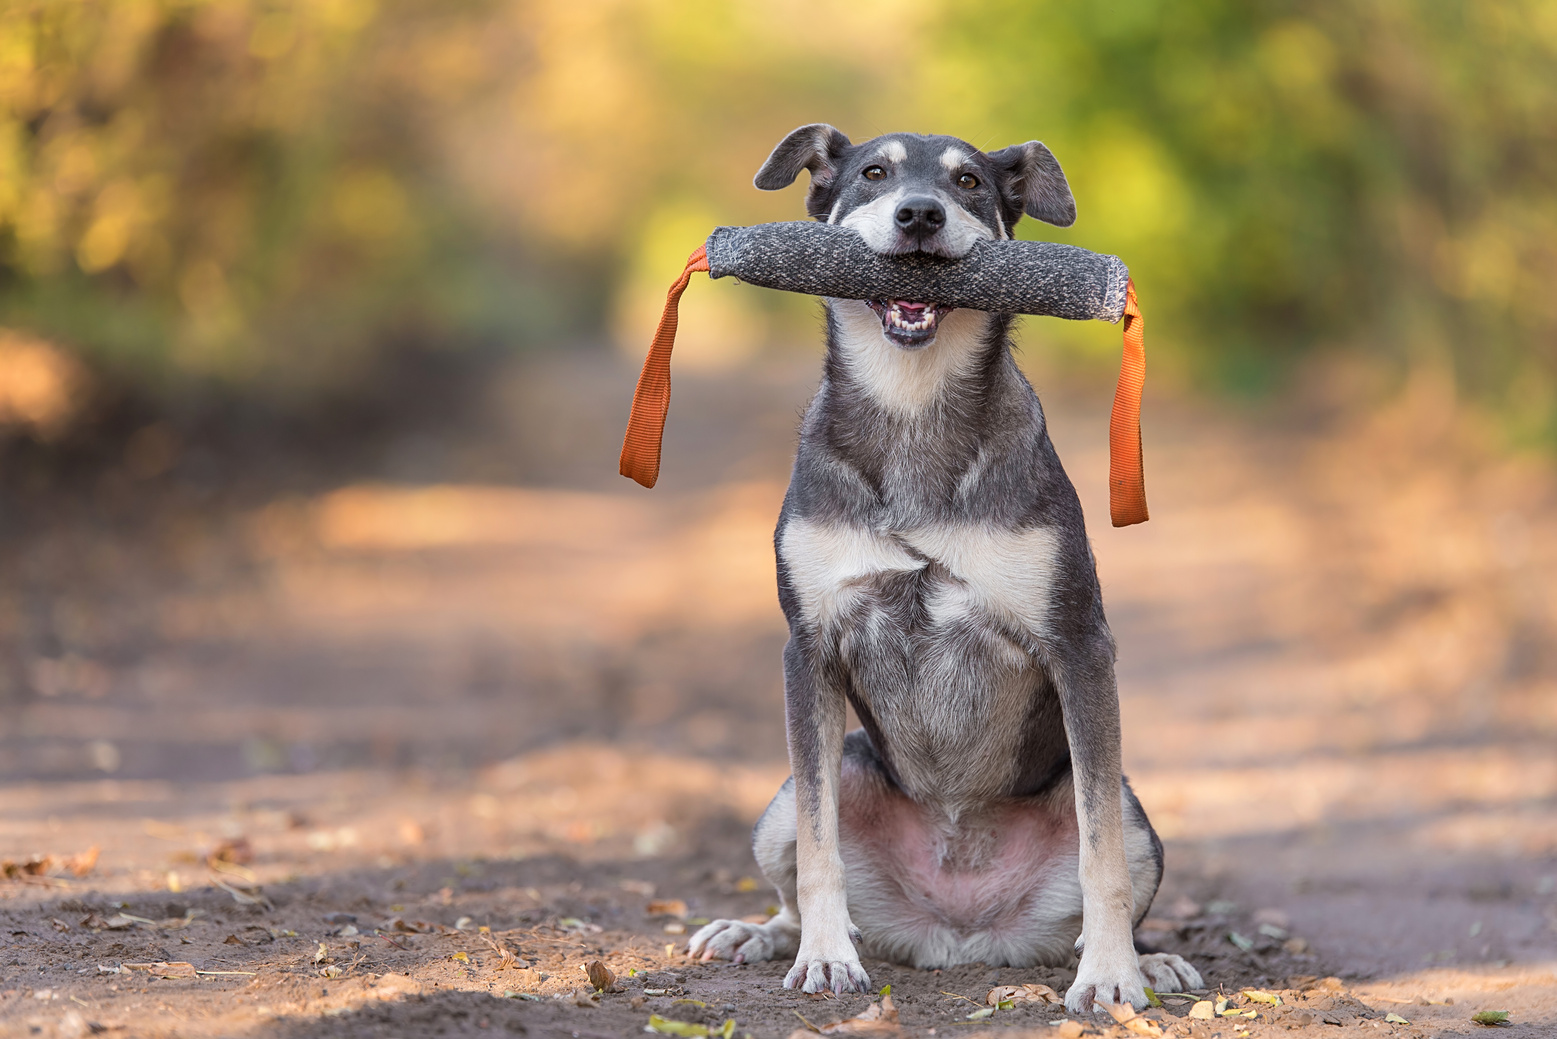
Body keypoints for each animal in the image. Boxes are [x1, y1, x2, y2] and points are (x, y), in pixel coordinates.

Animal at [685, 123, 1202, 1015]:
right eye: (873, 173)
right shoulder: (807, 649)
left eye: (967, 182)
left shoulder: (1079, 645)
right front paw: (825, 959)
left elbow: (1097, 853)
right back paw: (761, 934)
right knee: (797, 869)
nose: (920, 214)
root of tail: (956, 932)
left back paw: (1149, 959)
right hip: (800, 789)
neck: (912, 407)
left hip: (1134, 809)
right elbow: (819, 849)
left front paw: (1109, 974)